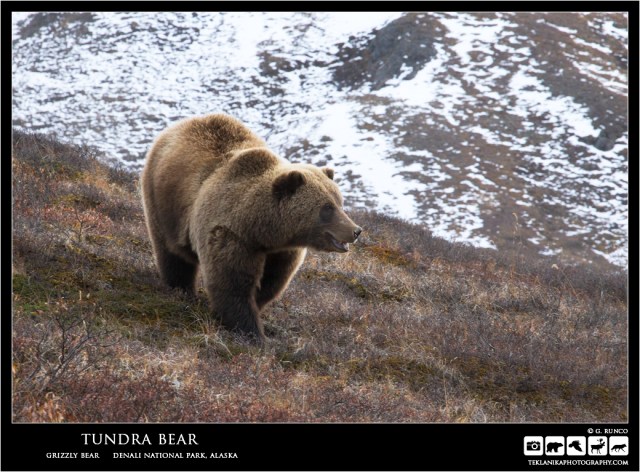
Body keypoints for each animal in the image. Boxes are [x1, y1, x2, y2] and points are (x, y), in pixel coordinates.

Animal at [141, 114, 362, 342]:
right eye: (327, 208)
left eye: (340, 202)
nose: (355, 230)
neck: (262, 229)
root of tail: (182, 124)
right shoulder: (232, 236)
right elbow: (232, 283)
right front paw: (251, 331)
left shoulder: (281, 251)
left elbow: (272, 281)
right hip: (162, 202)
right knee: (172, 252)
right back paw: (181, 288)